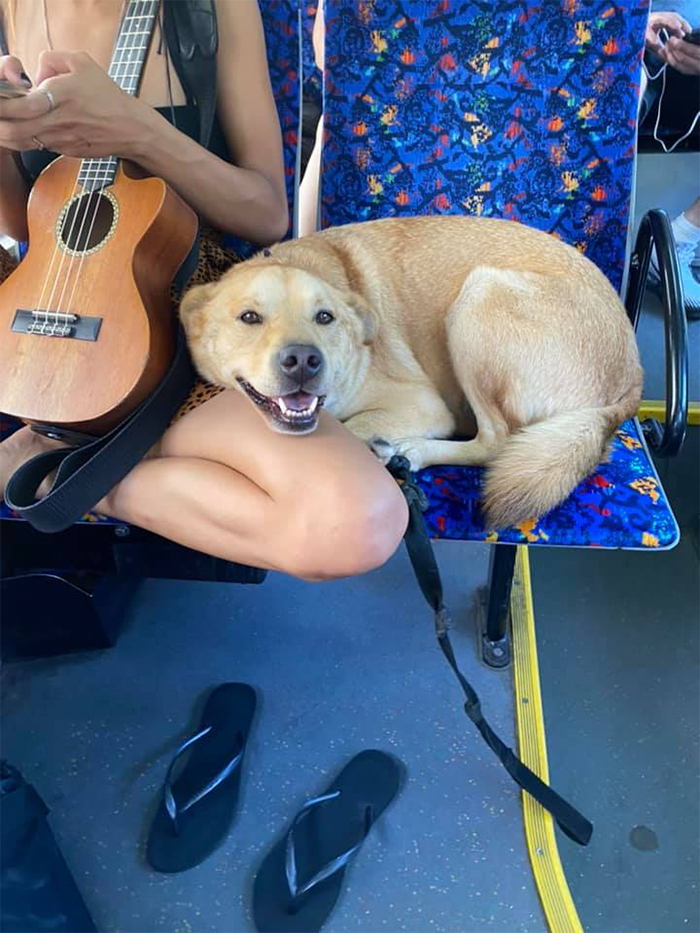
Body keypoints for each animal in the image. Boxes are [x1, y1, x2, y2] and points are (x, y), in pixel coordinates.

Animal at [182, 215, 644, 528]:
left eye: (325, 317)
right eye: (249, 317)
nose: (303, 361)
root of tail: (630, 380)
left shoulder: (423, 404)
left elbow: (352, 427)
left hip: (477, 298)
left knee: (496, 439)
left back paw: (412, 451)